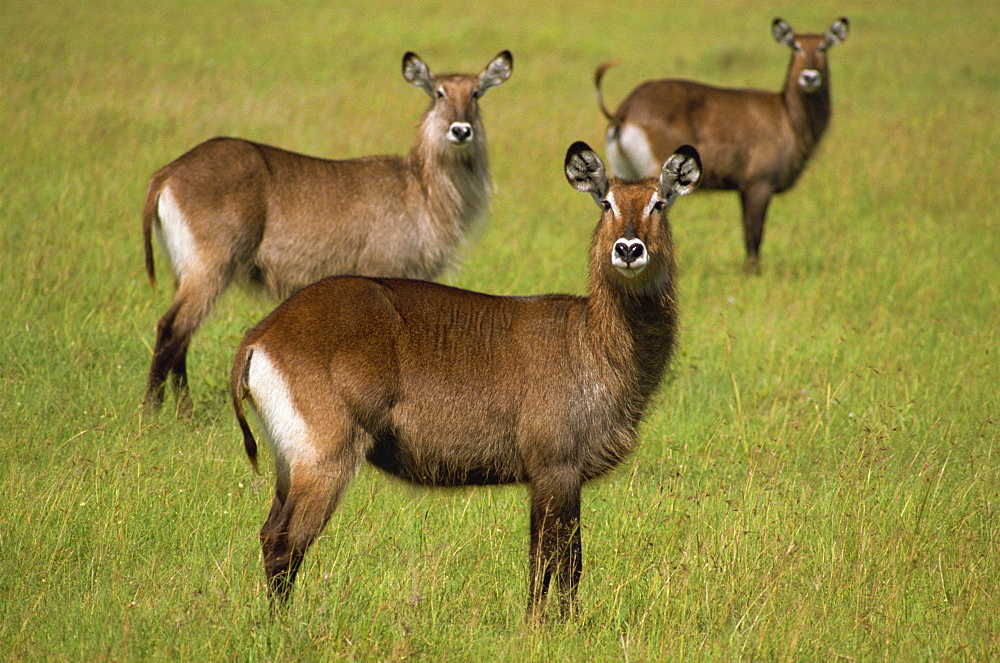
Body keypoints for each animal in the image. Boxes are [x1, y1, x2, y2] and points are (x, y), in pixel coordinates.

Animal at [140, 49, 512, 412]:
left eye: (476, 93)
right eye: (439, 93)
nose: (461, 130)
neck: (420, 189)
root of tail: (167, 173)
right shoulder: (385, 271)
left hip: (185, 268)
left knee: (183, 334)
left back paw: (184, 411)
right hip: (211, 265)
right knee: (171, 328)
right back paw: (153, 410)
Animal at [232, 141, 704, 624]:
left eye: (659, 202)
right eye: (605, 202)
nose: (628, 249)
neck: (593, 340)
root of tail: (262, 334)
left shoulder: (553, 474)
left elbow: (559, 557)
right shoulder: (555, 467)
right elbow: (554, 560)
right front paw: (546, 627)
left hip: (289, 461)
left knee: (269, 534)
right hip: (326, 457)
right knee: (286, 542)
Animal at [596, 18, 848, 272]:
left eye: (823, 46)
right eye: (796, 46)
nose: (810, 77)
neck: (786, 114)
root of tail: (626, 109)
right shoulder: (759, 185)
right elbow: (754, 233)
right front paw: (752, 272)